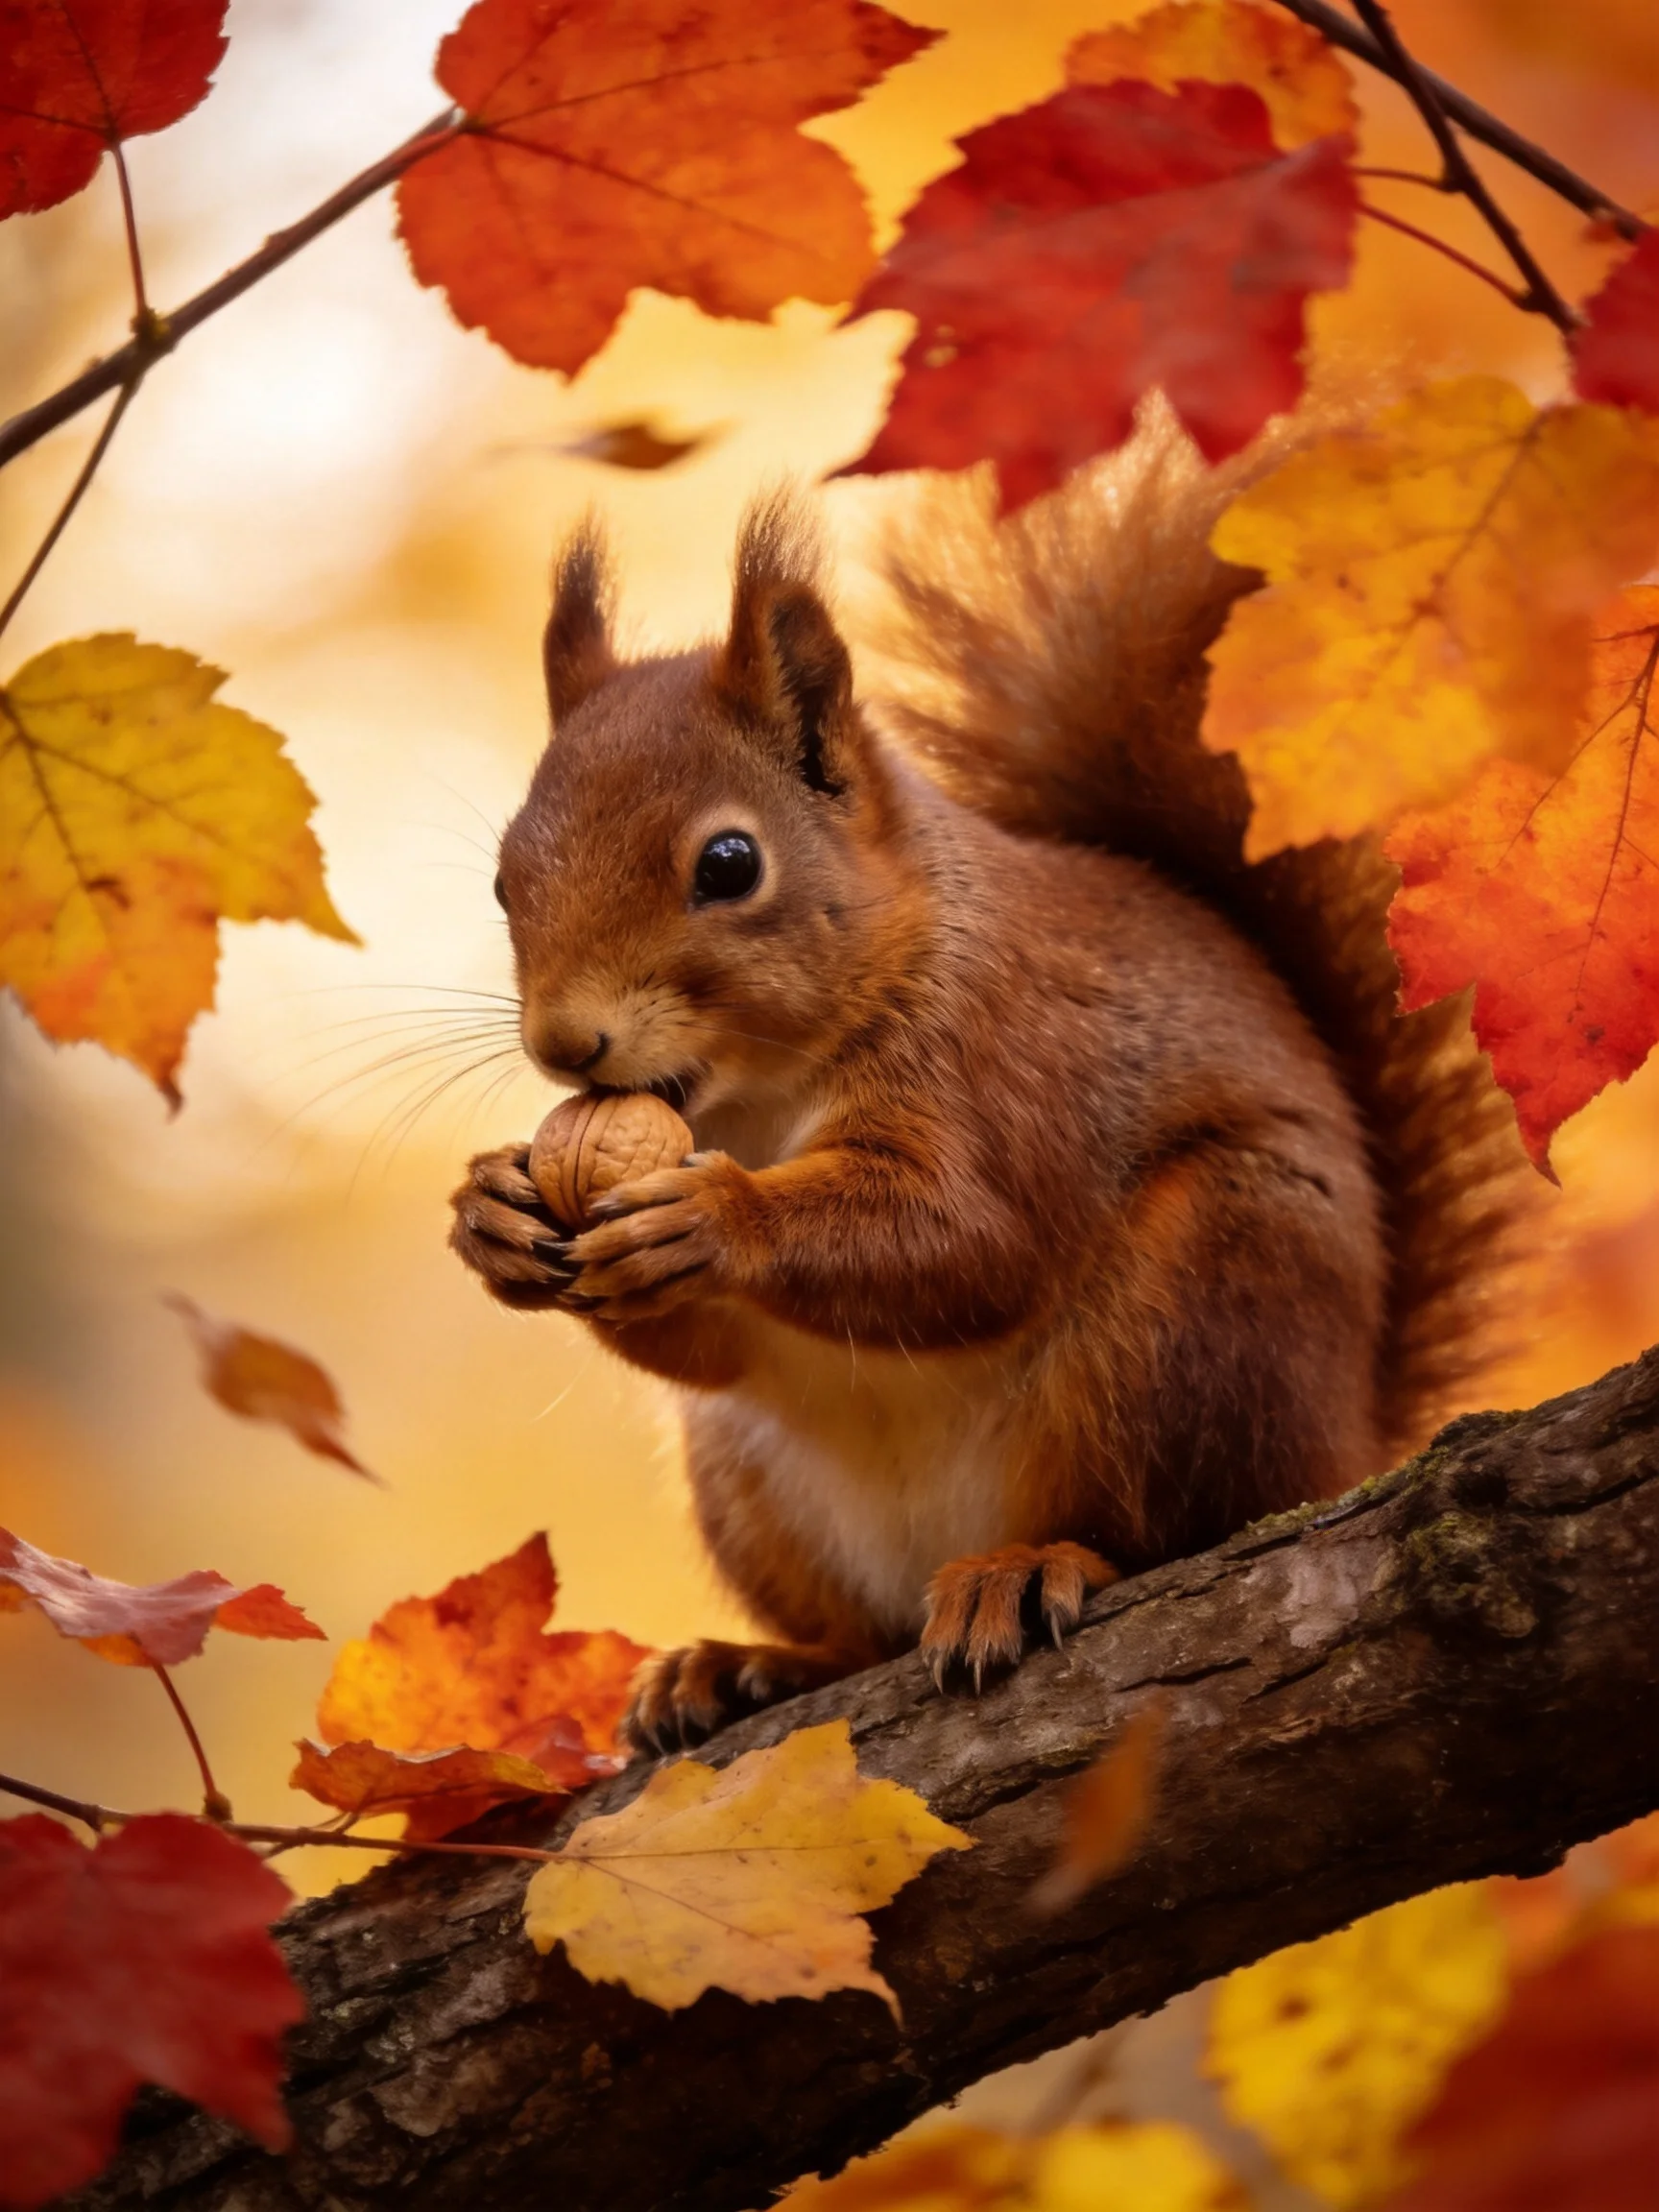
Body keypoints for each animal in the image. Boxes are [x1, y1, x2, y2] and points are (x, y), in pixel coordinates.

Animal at [449, 415, 1523, 1754]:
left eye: (731, 864)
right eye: (503, 880)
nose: (565, 1045)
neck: (758, 1101)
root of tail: (1348, 1442)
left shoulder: (1007, 1060)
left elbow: (970, 1242)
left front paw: (716, 1215)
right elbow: (707, 1342)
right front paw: (492, 1213)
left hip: (1202, 1314)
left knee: (1160, 1532)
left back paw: (1029, 1567)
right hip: (749, 1480)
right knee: (858, 1632)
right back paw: (751, 1666)